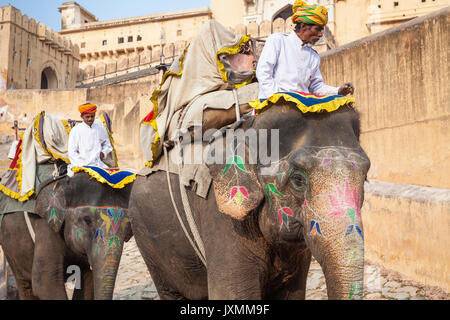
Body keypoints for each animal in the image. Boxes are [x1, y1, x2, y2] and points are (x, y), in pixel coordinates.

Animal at [0, 170, 134, 300]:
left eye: (128, 229)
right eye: (87, 220)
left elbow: (87, 278)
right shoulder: (46, 226)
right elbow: (45, 282)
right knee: (25, 286)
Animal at [128, 97, 370, 298]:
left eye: (365, 177)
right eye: (298, 179)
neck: (249, 127)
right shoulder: (222, 217)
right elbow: (231, 294)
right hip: (148, 240)